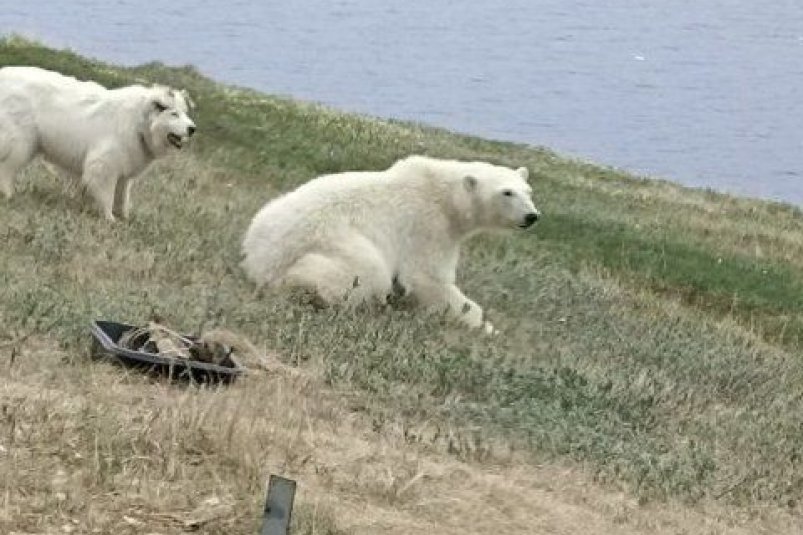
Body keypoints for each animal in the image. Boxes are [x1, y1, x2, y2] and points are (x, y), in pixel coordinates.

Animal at [0, 66, 196, 221]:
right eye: (174, 114)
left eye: (185, 113)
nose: (192, 129)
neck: (139, 124)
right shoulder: (104, 165)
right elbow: (107, 195)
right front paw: (109, 219)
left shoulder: (124, 173)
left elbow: (122, 197)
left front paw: (124, 218)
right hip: (21, 143)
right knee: (7, 169)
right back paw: (9, 195)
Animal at [239, 153, 540, 332]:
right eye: (507, 192)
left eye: (528, 191)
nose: (532, 216)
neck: (444, 195)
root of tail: (262, 262)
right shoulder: (428, 226)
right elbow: (427, 277)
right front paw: (485, 325)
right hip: (334, 240)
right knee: (367, 272)